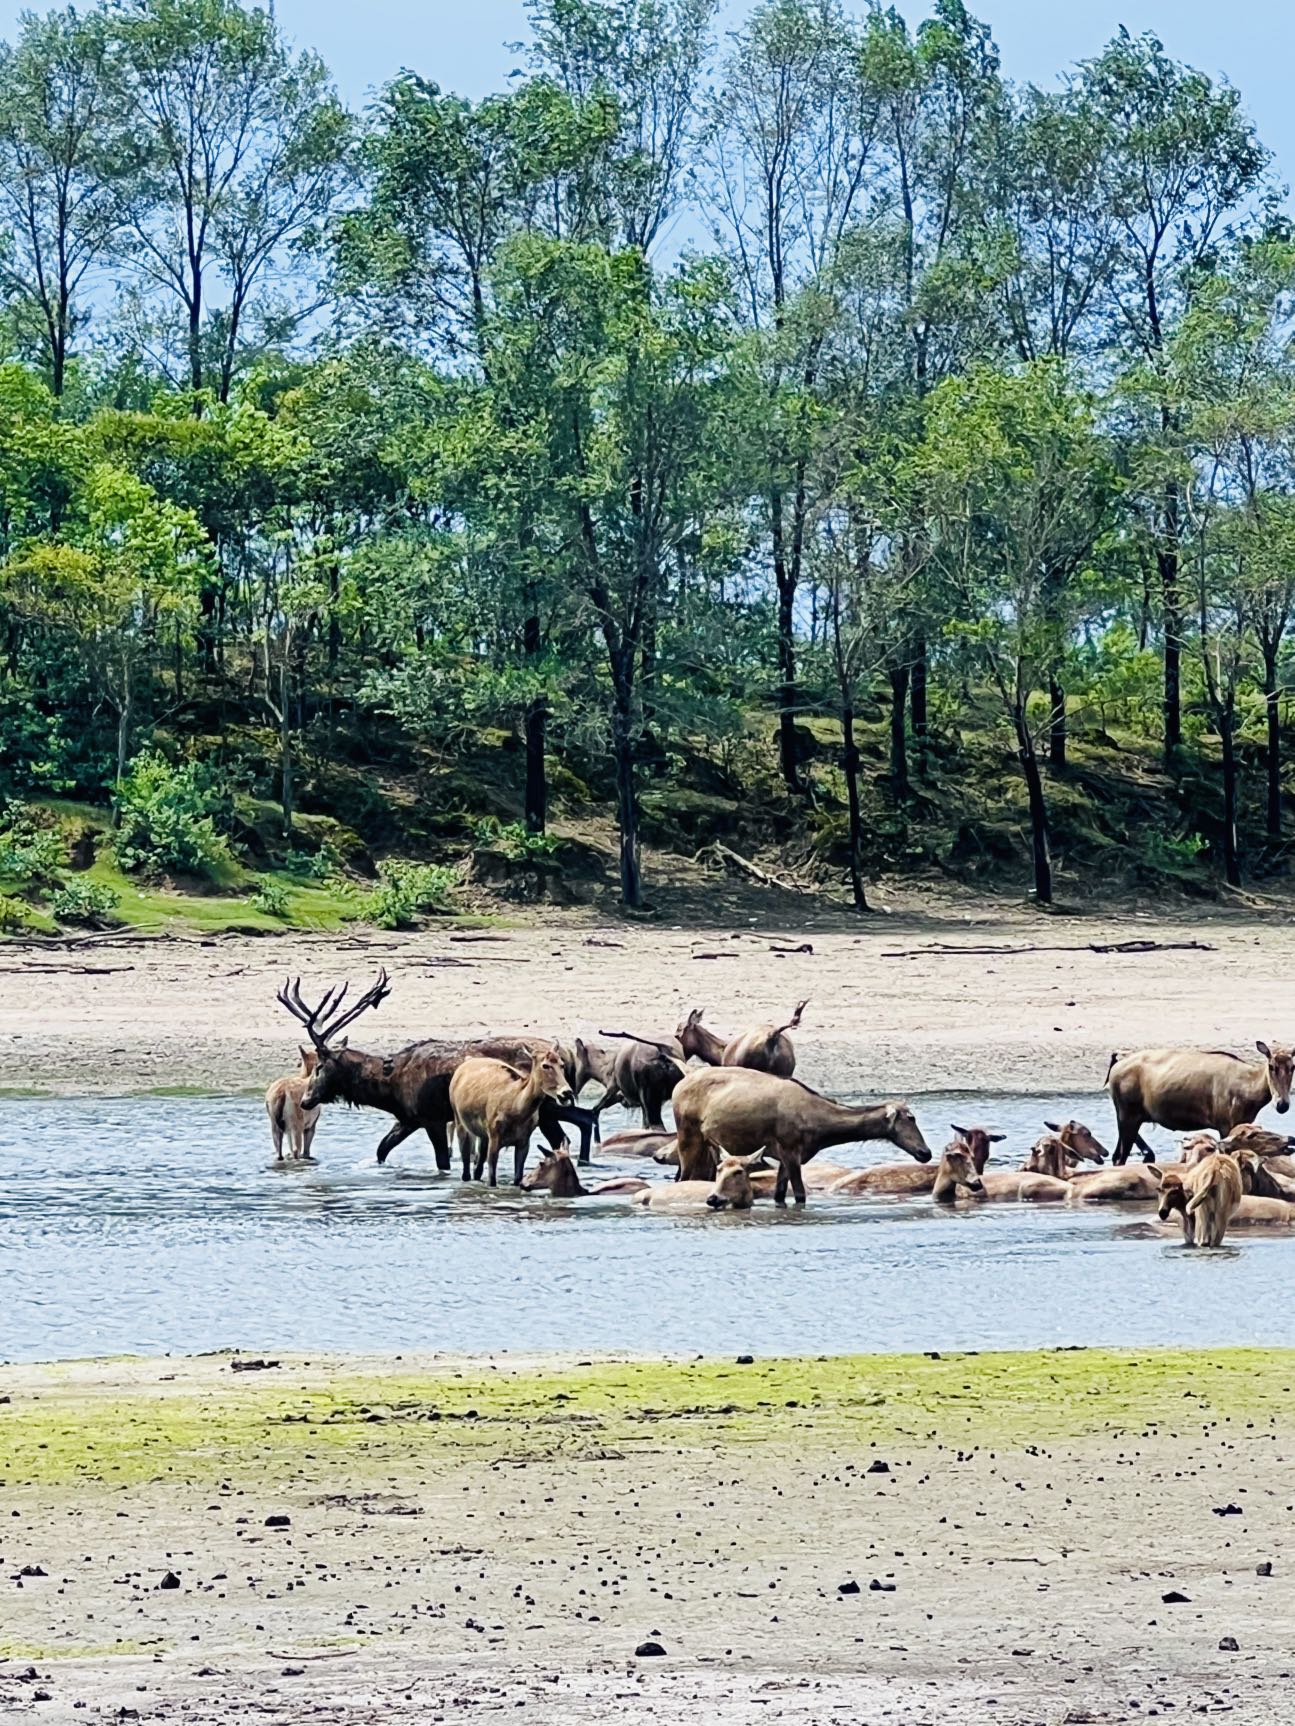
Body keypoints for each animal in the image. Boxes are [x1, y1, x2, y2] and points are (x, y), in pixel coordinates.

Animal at [449, 1046, 574, 1186]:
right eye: (545, 1065)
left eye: (562, 1064)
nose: (566, 1093)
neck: (515, 1108)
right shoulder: (495, 1137)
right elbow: (492, 1180)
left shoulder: (523, 1142)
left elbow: (518, 1178)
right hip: (460, 1122)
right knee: (466, 1168)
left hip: (483, 1135)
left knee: (478, 1166)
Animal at [670, 1066, 929, 1203]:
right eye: (911, 1118)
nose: (925, 1152)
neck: (822, 1130)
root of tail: (677, 1086)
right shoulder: (790, 1150)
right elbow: (801, 1195)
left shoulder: (788, 1156)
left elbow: (780, 1194)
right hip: (688, 1135)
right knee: (682, 1178)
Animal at [1106, 1041, 1295, 1165]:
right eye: (1271, 1066)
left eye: (1292, 1067)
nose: (1282, 1104)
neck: (1250, 1092)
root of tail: (1114, 1068)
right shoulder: (1225, 1125)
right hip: (1128, 1114)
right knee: (1120, 1157)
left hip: (1129, 1115)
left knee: (1117, 1155)